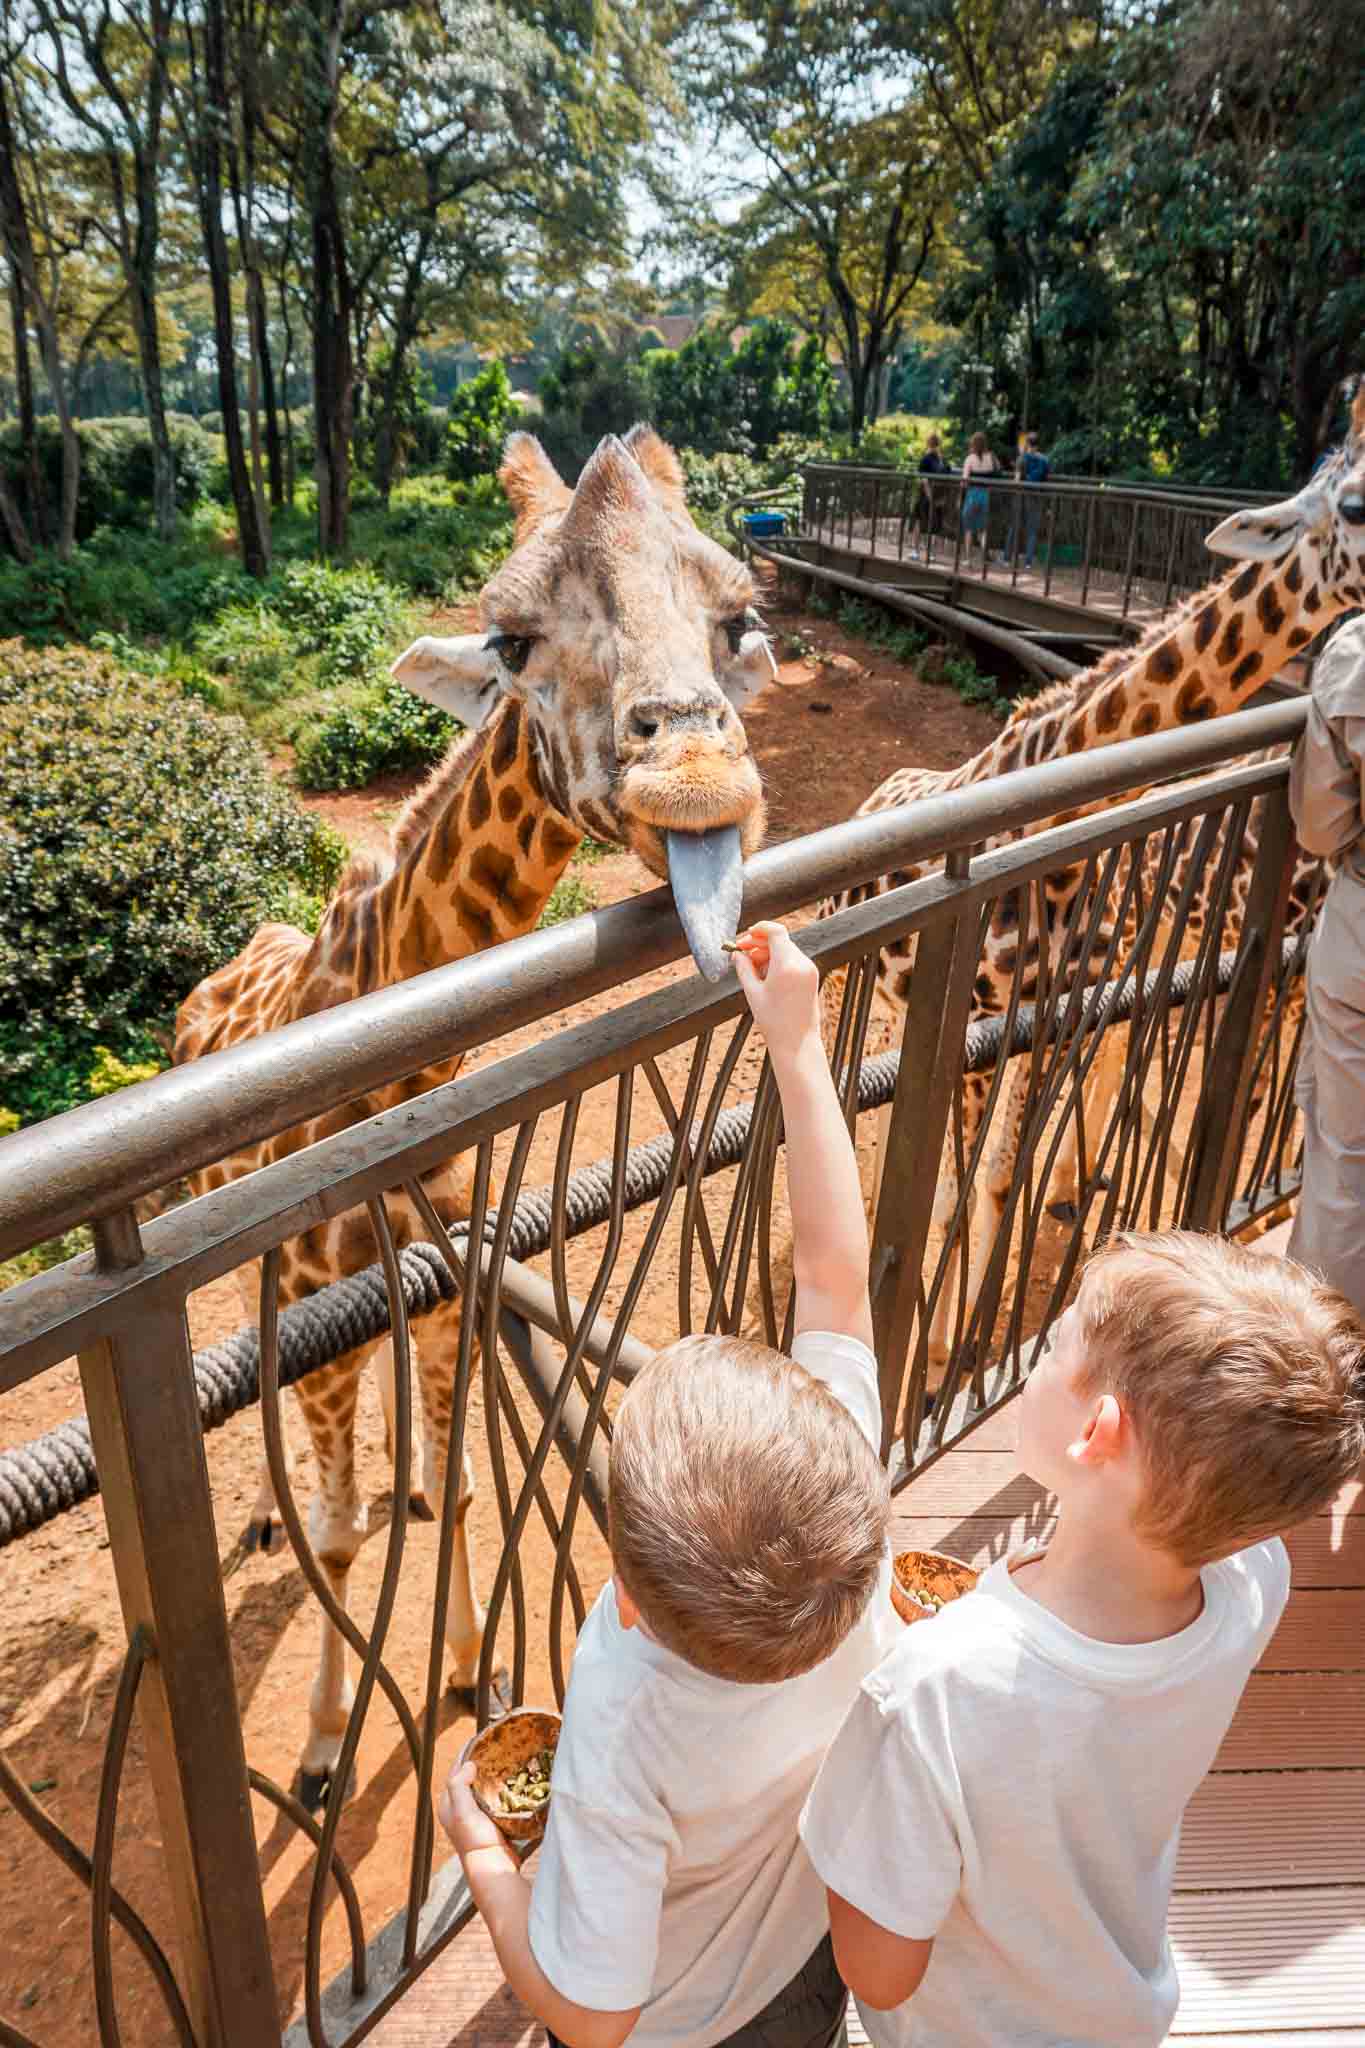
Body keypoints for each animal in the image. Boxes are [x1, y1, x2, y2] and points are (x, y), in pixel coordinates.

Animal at [174, 425, 777, 1806]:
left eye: (739, 619)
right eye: (508, 637)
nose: (695, 773)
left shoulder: (451, 1289)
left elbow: (454, 1491)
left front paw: (469, 1667)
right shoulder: (321, 1323)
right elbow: (339, 1541)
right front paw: (323, 1751)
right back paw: (262, 1513)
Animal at [822, 396, 1365, 1371]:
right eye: (1351, 505)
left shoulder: (1047, 1023)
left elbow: (999, 1179)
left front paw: (964, 1343)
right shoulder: (974, 1023)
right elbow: (954, 1186)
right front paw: (928, 1351)